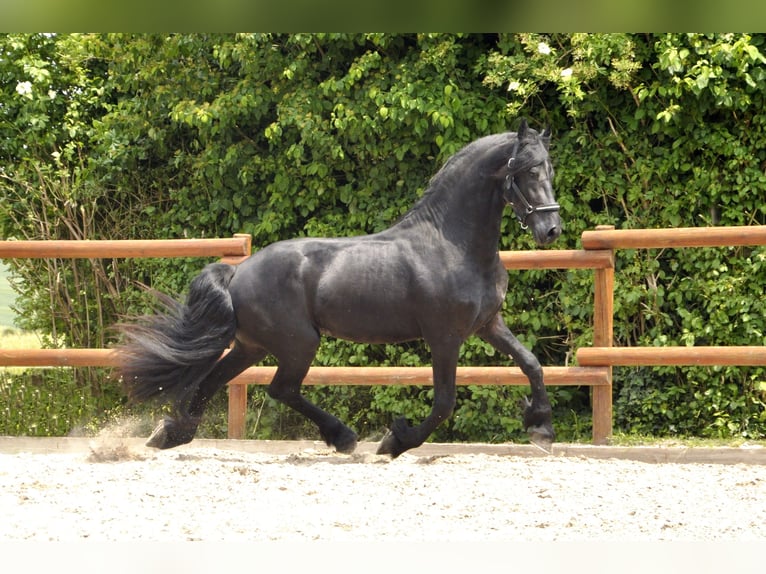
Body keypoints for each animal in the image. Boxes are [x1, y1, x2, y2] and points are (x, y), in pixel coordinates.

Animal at [117, 119, 562, 458]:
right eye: (528, 172)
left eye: (550, 171)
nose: (551, 229)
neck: (451, 244)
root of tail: (238, 272)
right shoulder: (444, 337)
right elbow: (444, 402)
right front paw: (395, 442)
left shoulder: (488, 324)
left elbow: (532, 364)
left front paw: (540, 427)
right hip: (298, 343)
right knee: (281, 388)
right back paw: (344, 437)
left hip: (252, 346)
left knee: (213, 382)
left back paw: (170, 434)